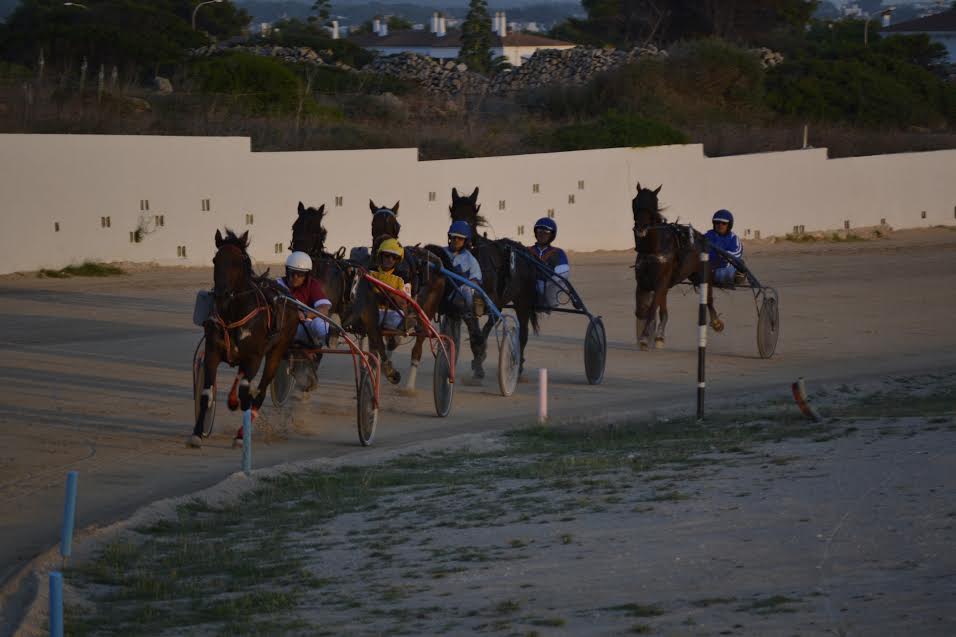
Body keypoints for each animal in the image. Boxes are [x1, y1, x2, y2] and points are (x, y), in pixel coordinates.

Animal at [190, 229, 298, 448]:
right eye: (215, 260)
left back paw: (241, 431)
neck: (233, 314)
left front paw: (242, 436)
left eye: (236, 262)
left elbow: (246, 393)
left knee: (261, 391)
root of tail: (287, 295)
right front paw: (197, 433)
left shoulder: (254, 358)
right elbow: (206, 393)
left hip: (276, 352)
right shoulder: (213, 352)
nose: (221, 295)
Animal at [446, 188, 536, 378]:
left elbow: (484, 332)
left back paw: (519, 366)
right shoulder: (466, 302)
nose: (458, 238)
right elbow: (474, 333)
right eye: (454, 215)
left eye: (472, 217)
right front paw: (477, 363)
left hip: (523, 301)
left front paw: (480, 358)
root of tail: (524, 250)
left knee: (523, 333)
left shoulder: (494, 302)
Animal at [632, 181, 720, 350]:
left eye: (653, 204)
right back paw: (659, 335)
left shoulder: (661, 280)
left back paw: (717, 322)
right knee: (663, 309)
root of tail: (700, 237)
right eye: (635, 202)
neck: (653, 248)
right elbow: (641, 310)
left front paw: (645, 337)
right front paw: (646, 335)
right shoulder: (643, 282)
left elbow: (652, 308)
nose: (641, 227)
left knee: (709, 298)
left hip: (702, 274)